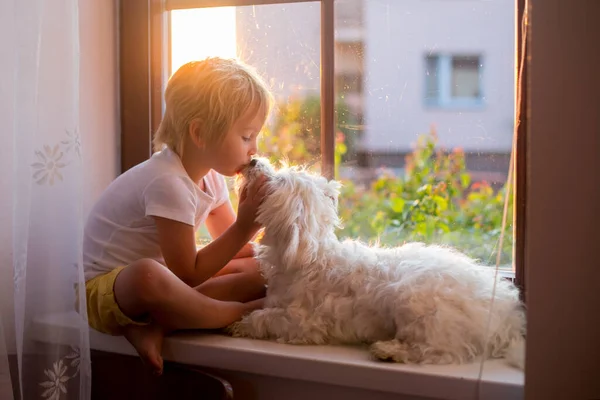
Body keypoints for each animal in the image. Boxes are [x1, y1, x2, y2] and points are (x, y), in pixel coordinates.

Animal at [230, 157, 524, 368]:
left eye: (276, 180)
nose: (253, 160)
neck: (307, 258)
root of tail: (507, 318)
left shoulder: (304, 322)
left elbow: (266, 317)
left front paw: (242, 324)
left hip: (417, 303)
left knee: (439, 351)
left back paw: (388, 350)